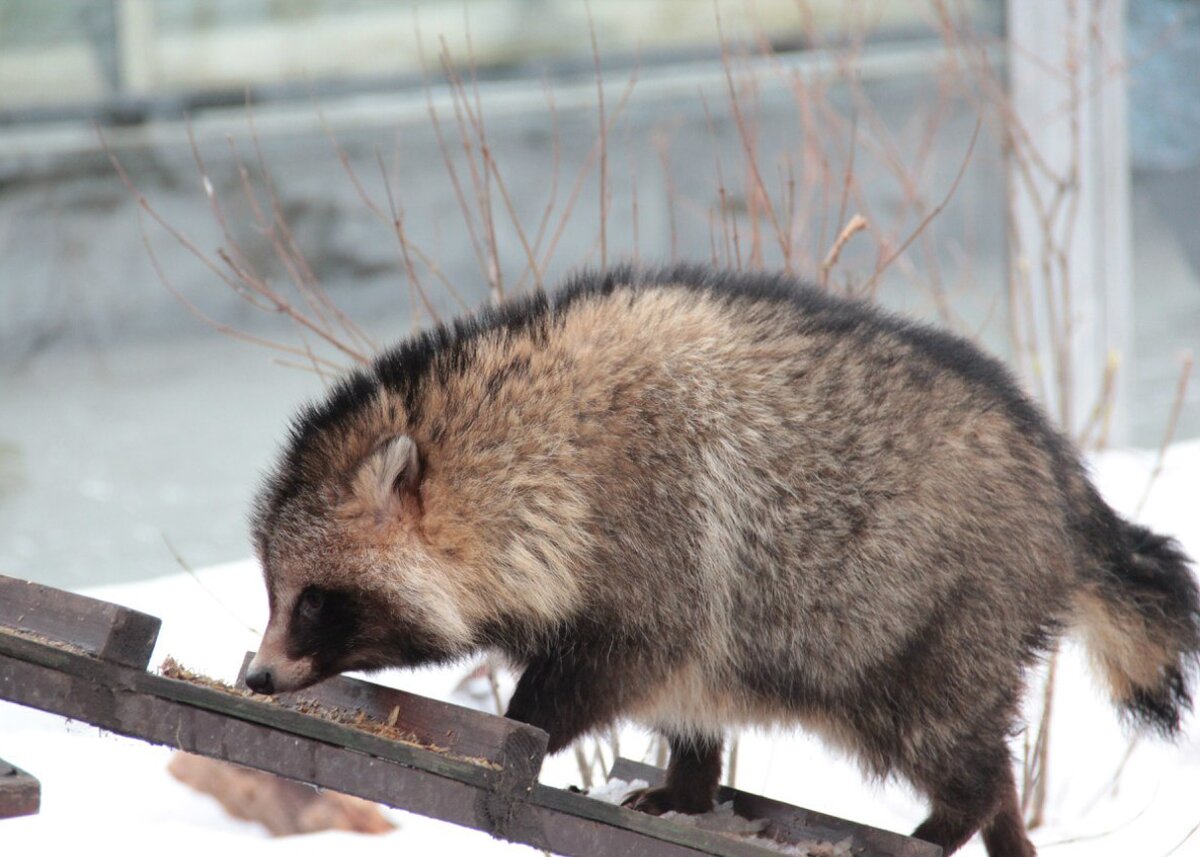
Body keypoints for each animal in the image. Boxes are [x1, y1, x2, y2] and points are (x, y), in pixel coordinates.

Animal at [248, 264, 1195, 849]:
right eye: (275, 592)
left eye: (313, 599)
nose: (256, 676)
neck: (534, 453)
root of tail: (1067, 485)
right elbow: (685, 691)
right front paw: (693, 780)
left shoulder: (659, 537)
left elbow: (621, 663)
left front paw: (527, 727)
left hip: (936, 624)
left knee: (946, 735)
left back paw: (960, 813)